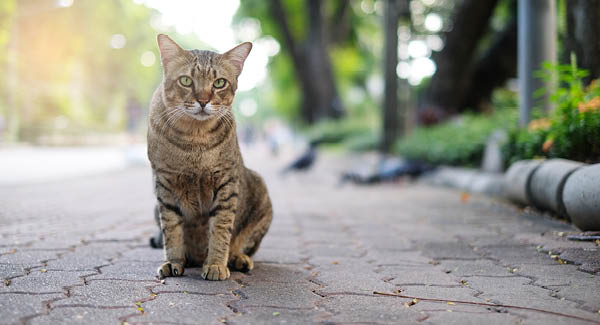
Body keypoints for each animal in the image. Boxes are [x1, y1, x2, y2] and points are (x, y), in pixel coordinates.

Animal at [147, 34, 272, 280]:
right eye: (186, 81)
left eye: (219, 83)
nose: (203, 100)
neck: (195, 139)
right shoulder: (164, 185)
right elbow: (171, 230)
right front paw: (173, 261)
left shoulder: (227, 183)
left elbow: (221, 229)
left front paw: (215, 264)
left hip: (261, 193)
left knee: (242, 244)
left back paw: (238, 258)